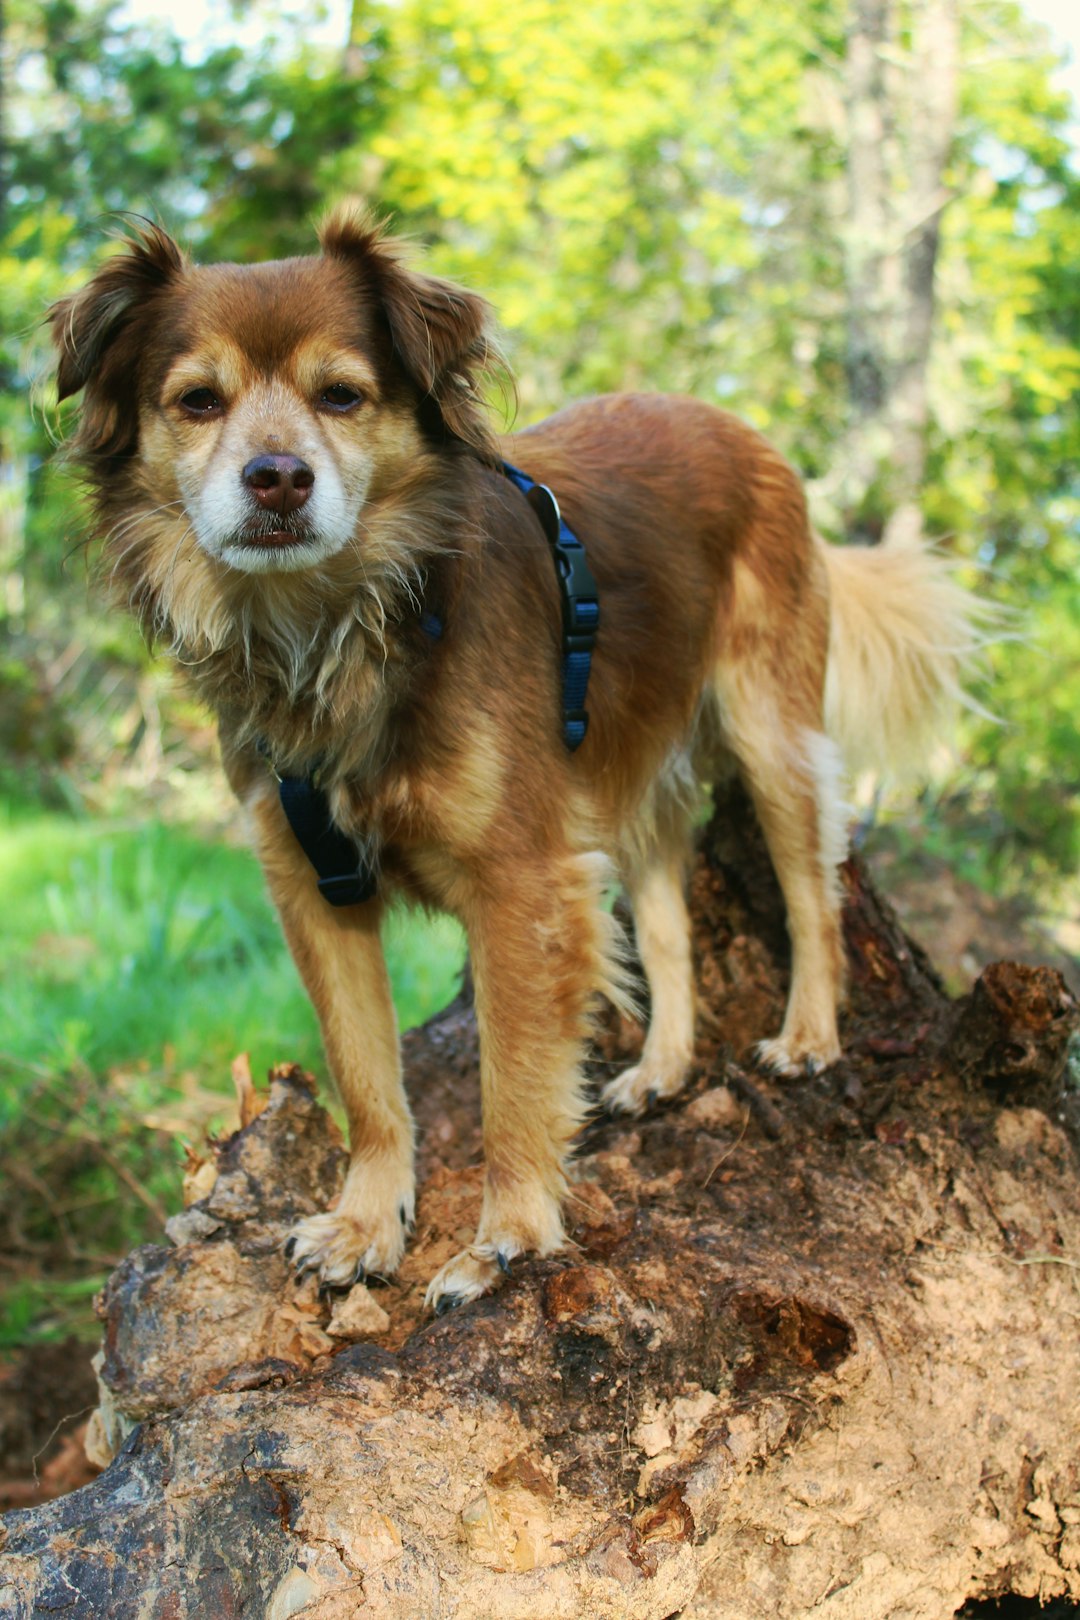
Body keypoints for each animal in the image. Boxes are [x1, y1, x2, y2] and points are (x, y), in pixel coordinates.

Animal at [48, 208, 977, 1308]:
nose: (277, 477)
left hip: (769, 730)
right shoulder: (315, 885)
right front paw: (367, 1223)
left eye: (341, 395)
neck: (341, 626)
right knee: (667, 925)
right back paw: (664, 1067)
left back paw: (809, 1038)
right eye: (197, 402)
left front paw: (510, 1238)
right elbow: (367, 1076)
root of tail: (742, 430)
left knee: (810, 892)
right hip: (627, 776)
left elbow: (514, 1079)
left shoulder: (522, 882)